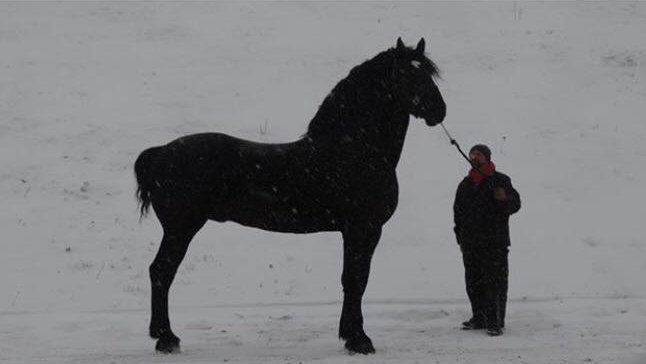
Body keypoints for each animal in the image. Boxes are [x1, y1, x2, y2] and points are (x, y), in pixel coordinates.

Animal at [137, 38, 448, 354]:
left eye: (428, 74)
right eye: (406, 75)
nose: (439, 110)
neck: (352, 150)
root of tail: (161, 153)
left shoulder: (356, 230)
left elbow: (352, 280)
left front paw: (350, 334)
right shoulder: (364, 228)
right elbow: (356, 280)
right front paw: (360, 339)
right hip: (181, 228)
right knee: (161, 272)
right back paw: (166, 338)